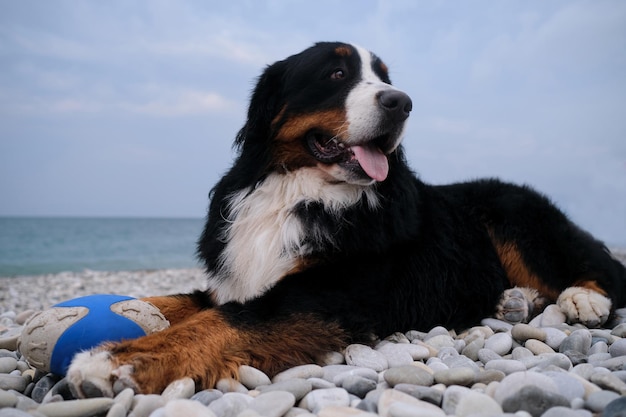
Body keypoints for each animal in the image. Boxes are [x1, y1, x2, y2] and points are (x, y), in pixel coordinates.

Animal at [64, 42, 624, 396]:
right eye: (335, 74)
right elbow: (183, 301)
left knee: (600, 267)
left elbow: (224, 322)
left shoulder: (325, 292)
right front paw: (120, 309)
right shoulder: (237, 279)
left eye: (386, 81)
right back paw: (516, 300)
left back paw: (583, 299)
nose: (402, 102)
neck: (298, 192)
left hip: (513, 214)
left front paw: (114, 360)